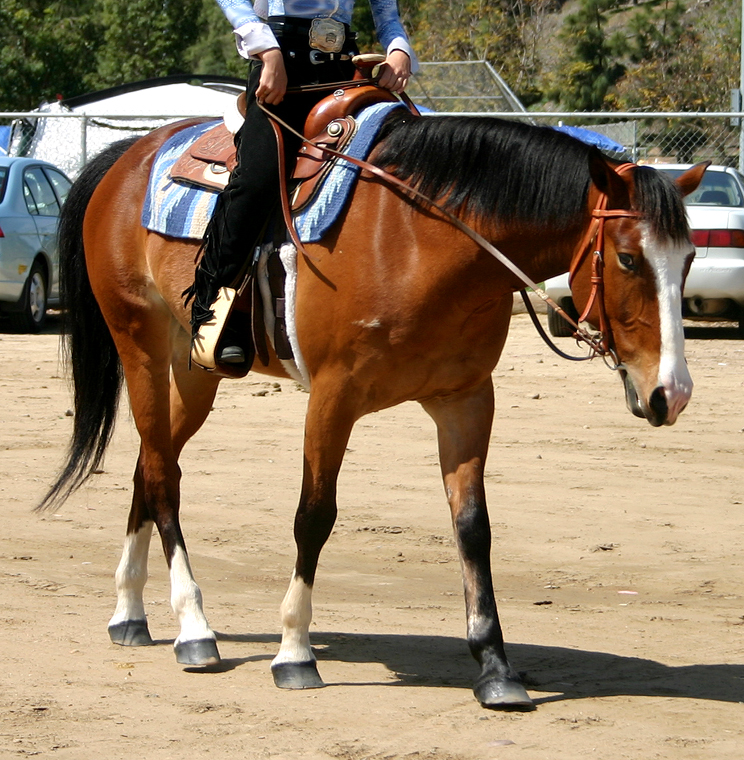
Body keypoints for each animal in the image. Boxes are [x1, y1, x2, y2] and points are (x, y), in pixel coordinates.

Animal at [40, 108, 704, 712]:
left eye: (689, 260)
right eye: (627, 258)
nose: (671, 393)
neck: (420, 240)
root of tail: (125, 157)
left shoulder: (466, 400)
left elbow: (473, 528)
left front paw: (495, 666)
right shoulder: (334, 397)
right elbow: (314, 515)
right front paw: (294, 652)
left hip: (193, 368)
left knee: (152, 466)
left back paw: (130, 614)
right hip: (142, 348)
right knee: (160, 474)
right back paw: (195, 628)